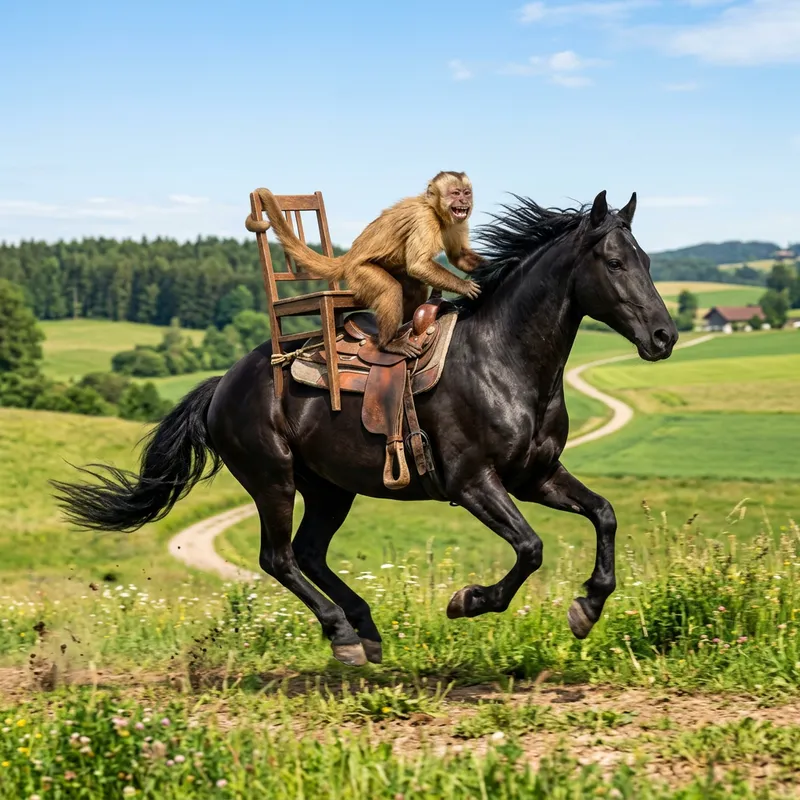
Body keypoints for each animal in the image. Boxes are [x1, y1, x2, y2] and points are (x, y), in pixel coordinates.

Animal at [245, 171, 483, 357]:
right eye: (455, 193)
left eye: (466, 192)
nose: (464, 201)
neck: (436, 212)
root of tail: (349, 256)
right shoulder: (424, 219)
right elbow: (419, 265)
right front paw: (464, 286)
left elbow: (458, 257)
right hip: (360, 272)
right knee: (390, 289)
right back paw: (388, 344)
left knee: (414, 287)